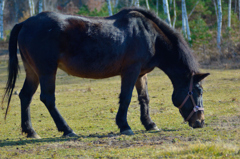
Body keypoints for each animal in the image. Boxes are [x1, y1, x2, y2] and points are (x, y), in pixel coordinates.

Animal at [1, 8, 209, 139]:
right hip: (46, 70)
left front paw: (149, 124)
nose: (200, 122)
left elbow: (144, 98)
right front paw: (124, 126)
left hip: (33, 71)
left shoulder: (141, 74)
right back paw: (67, 130)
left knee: (25, 96)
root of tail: (25, 23)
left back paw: (30, 131)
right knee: (47, 98)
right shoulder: (131, 70)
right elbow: (126, 97)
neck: (150, 34)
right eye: (197, 91)